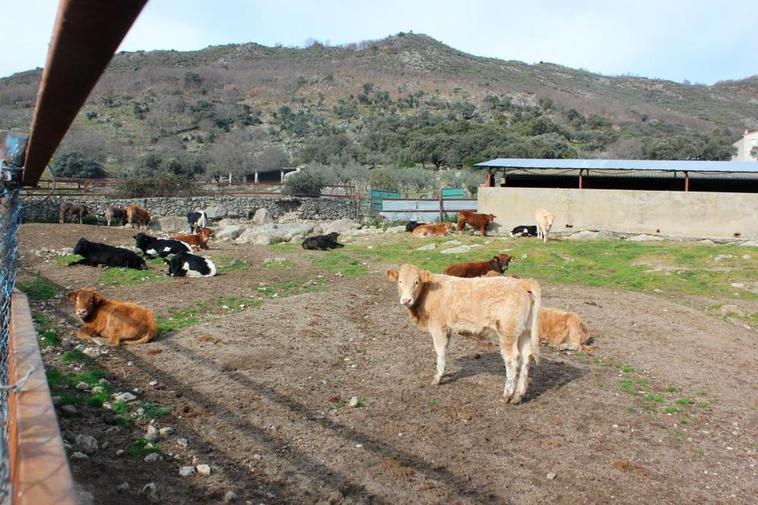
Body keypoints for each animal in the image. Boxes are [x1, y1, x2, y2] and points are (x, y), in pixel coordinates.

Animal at [388, 264, 544, 402]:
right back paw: (518, 396)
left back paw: (507, 395)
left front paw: (437, 378)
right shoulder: (447, 329)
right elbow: (445, 350)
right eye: (400, 281)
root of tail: (523, 282)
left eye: (416, 282)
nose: (406, 300)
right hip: (524, 332)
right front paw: (443, 372)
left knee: (512, 359)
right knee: (526, 357)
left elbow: (439, 351)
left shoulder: (437, 328)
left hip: (507, 333)